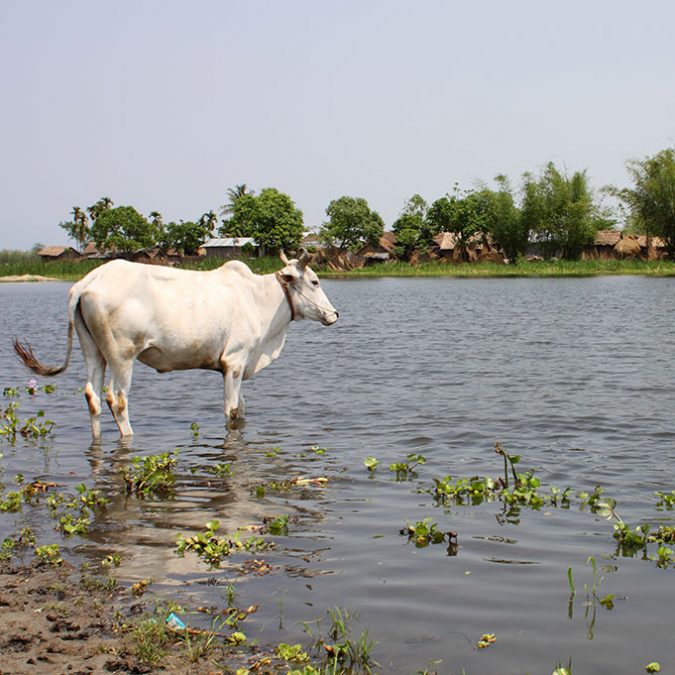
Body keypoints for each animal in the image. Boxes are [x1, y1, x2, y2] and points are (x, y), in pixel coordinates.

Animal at [15, 252, 340, 438]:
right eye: (314, 281)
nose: (334, 314)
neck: (259, 298)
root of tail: (88, 281)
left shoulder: (237, 364)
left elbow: (243, 408)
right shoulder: (234, 362)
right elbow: (232, 411)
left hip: (93, 351)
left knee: (91, 396)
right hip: (122, 356)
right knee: (116, 398)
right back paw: (129, 436)